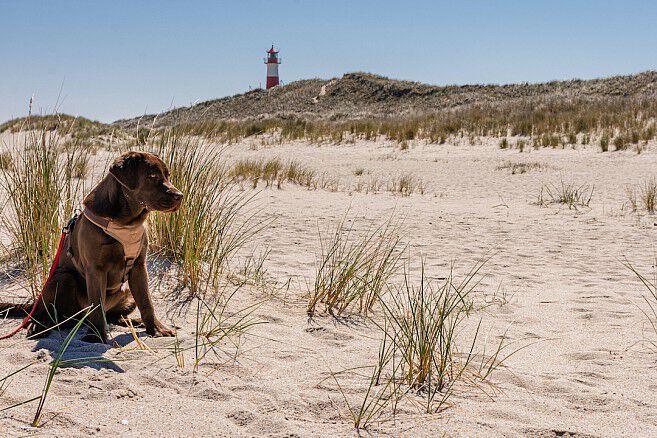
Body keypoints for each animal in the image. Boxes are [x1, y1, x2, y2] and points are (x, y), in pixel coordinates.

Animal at [23, 151, 182, 342]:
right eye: (152, 176)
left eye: (167, 175)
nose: (180, 196)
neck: (126, 223)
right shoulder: (96, 269)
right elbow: (97, 305)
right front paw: (96, 337)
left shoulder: (139, 266)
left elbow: (146, 302)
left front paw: (157, 329)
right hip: (62, 278)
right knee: (49, 313)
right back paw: (38, 326)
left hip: (126, 291)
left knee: (113, 315)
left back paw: (134, 321)